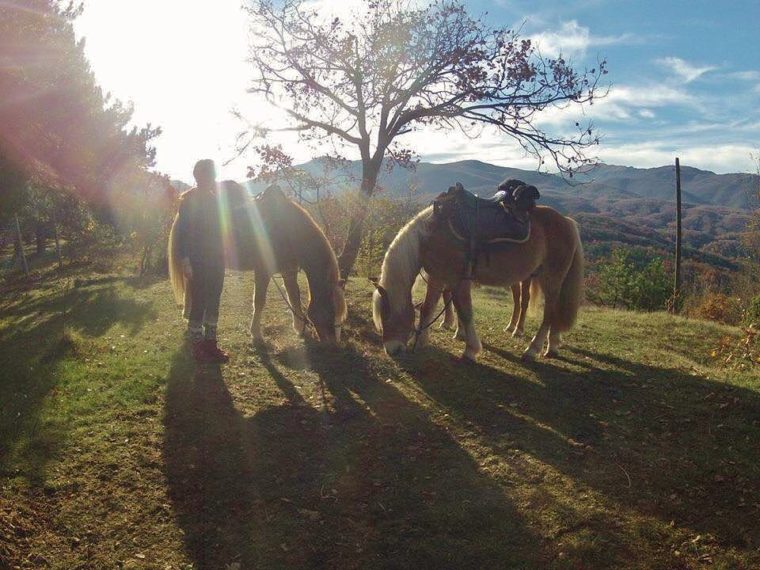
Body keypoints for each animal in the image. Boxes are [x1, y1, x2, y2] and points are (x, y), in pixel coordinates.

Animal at [170, 181, 348, 342]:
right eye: (331, 309)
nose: (334, 343)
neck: (286, 229)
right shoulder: (263, 271)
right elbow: (260, 301)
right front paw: (256, 333)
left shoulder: (289, 271)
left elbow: (294, 297)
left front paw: (299, 329)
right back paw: (188, 314)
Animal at [372, 195, 580, 358]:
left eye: (387, 317)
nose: (391, 350)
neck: (430, 235)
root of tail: (567, 221)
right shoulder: (437, 277)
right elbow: (427, 308)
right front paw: (422, 340)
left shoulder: (457, 280)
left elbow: (465, 311)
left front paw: (470, 349)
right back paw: (552, 345)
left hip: (551, 279)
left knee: (549, 312)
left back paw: (533, 349)